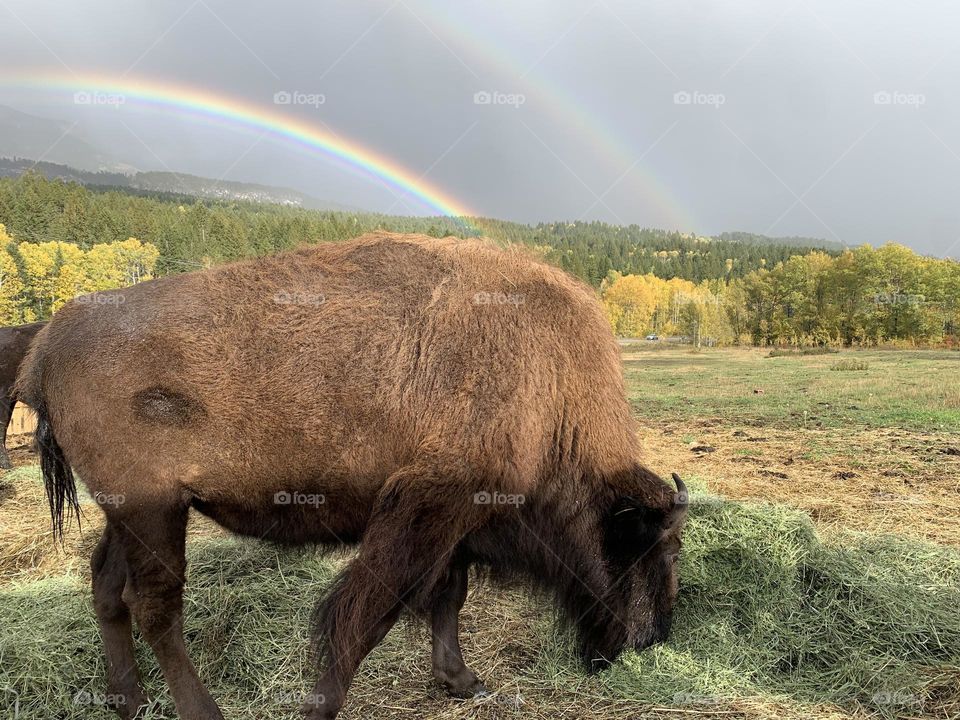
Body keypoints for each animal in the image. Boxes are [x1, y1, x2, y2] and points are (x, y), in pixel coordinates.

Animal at [18, 232, 687, 720]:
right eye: (656, 548)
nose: (650, 638)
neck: (548, 388)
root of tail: (47, 344)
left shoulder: (453, 524)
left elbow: (447, 596)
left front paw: (461, 680)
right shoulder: (425, 512)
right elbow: (366, 615)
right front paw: (324, 706)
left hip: (131, 513)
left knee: (108, 586)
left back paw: (128, 701)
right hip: (153, 509)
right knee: (156, 605)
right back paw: (202, 712)